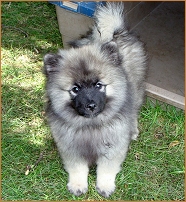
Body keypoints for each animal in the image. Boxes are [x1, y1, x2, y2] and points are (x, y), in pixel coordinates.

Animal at [42, 1, 147, 197]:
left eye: (99, 85)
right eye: (75, 89)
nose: (90, 105)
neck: (90, 126)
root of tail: (115, 32)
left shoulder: (112, 148)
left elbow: (106, 169)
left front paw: (104, 186)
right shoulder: (71, 148)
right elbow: (77, 169)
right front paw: (77, 185)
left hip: (136, 90)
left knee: (134, 111)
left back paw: (134, 130)